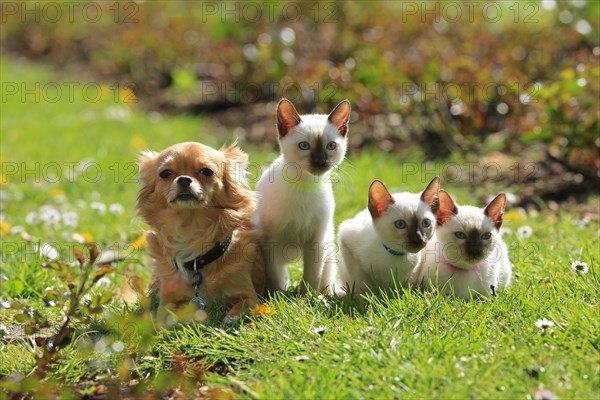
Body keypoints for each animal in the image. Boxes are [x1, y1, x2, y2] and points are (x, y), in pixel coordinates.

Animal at [253, 98, 352, 292]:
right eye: (304, 146)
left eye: (331, 146)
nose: (320, 162)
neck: (306, 185)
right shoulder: (271, 241)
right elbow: (275, 279)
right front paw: (278, 297)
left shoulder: (316, 241)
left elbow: (312, 277)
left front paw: (308, 296)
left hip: (328, 246)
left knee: (326, 278)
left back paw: (328, 294)